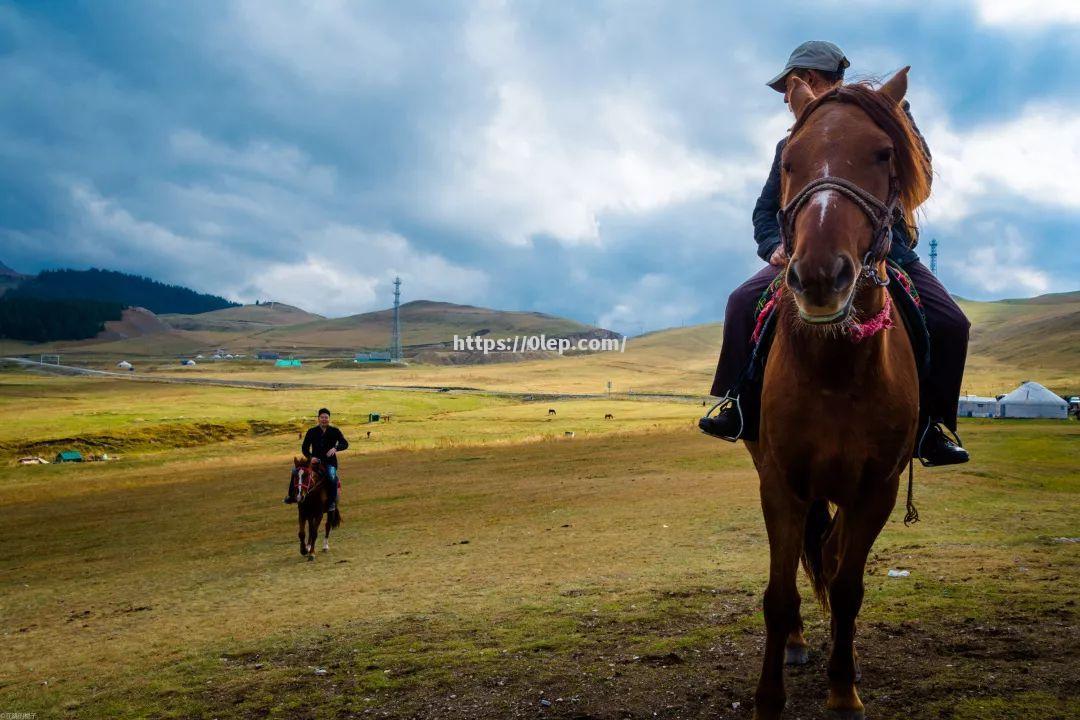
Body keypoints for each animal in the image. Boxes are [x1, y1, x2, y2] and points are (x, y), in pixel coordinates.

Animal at [743, 67, 928, 720]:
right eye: (788, 161)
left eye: (883, 154)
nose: (821, 277)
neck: (835, 368)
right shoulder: (780, 482)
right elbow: (777, 593)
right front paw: (768, 699)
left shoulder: (876, 489)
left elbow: (848, 588)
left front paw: (844, 691)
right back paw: (799, 644)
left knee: (828, 554)